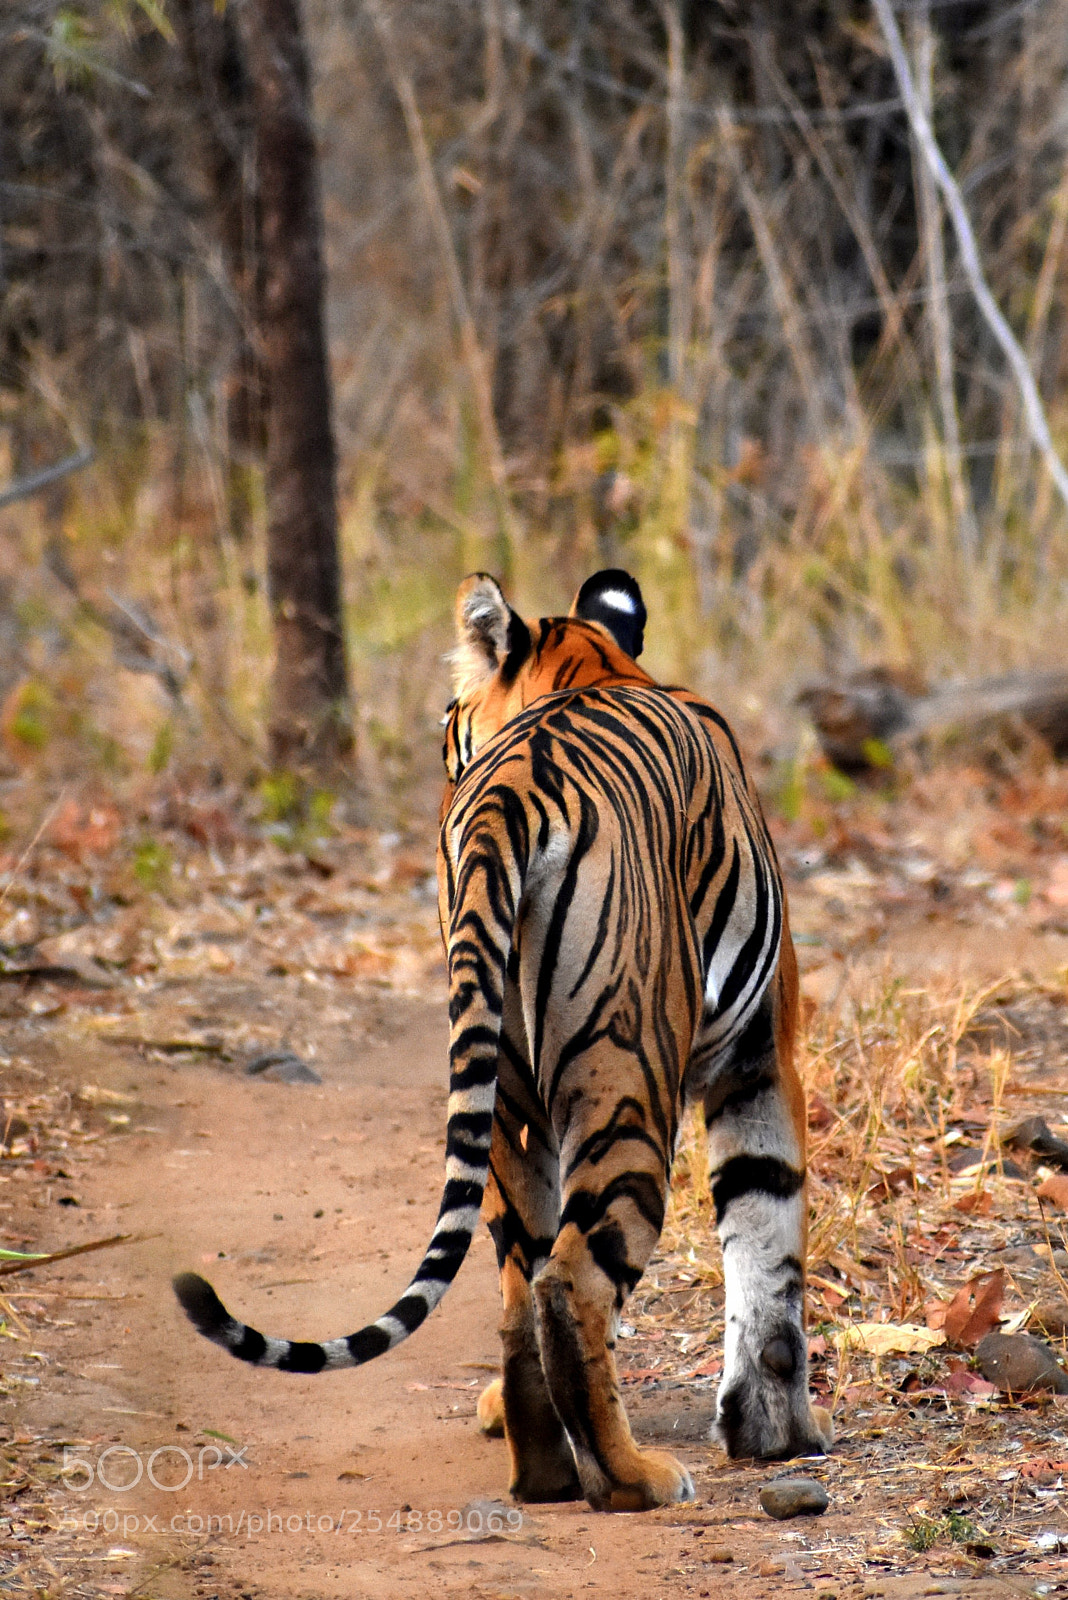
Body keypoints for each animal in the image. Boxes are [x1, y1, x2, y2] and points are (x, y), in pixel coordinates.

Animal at [174, 568, 832, 1513]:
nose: (439, 754)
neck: (599, 664)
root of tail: (504, 797)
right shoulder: (760, 1055)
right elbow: (767, 1234)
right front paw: (777, 1433)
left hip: (506, 1092)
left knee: (524, 1280)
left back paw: (545, 1465)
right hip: (626, 1074)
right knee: (569, 1281)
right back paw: (631, 1478)